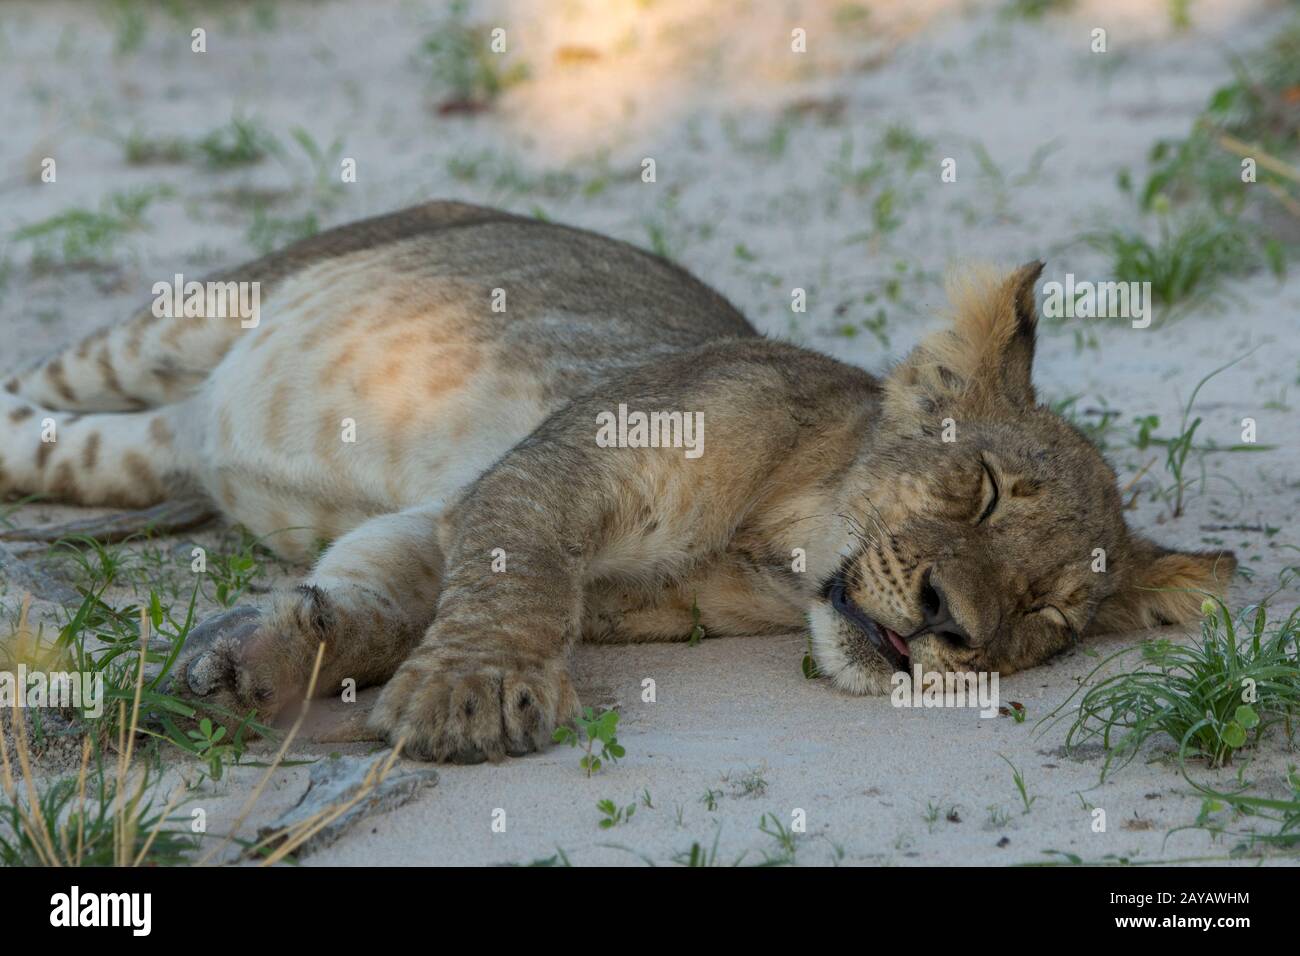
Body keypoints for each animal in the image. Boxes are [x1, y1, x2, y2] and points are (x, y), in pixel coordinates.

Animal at [0, 201, 1234, 762]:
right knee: (32, 384)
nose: (951, 626)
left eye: (1045, 616)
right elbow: (520, 579)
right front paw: (475, 693)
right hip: (188, 318)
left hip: (131, 445)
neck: (772, 542)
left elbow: (383, 600)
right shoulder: (565, 456)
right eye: (979, 488)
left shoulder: (439, 520)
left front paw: (253, 662)